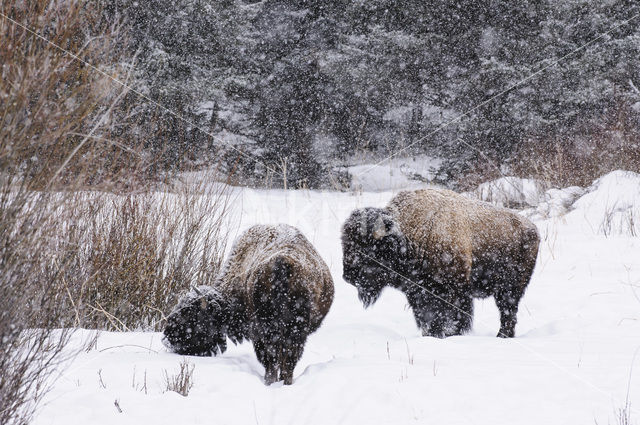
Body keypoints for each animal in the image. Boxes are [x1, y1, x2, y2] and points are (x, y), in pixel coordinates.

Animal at [162, 225, 336, 384]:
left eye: (191, 316)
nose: (166, 338)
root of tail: (283, 263)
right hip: (293, 331)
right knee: (286, 360)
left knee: (274, 359)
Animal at [342, 189, 536, 338]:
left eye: (366, 249)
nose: (347, 277)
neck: (409, 235)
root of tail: (532, 228)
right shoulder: (418, 293)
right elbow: (427, 317)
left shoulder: (450, 292)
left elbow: (449, 317)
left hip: (509, 290)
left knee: (507, 312)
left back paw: (502, 336)